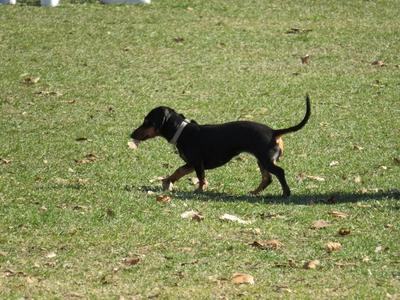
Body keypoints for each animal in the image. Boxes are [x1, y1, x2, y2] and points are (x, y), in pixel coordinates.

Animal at [131, 94, 310, 197]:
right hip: (262, 160)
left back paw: (286, 193)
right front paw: (168, 181)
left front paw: (199, 191)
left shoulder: (197, 163)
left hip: (265, 160)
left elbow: (201, 178)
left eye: (147, 121)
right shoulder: (191, 163)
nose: (131, 135)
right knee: (267, 178)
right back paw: (254, 192)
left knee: (279, 173)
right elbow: (178, 171)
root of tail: (274, 132)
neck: (182, 131)